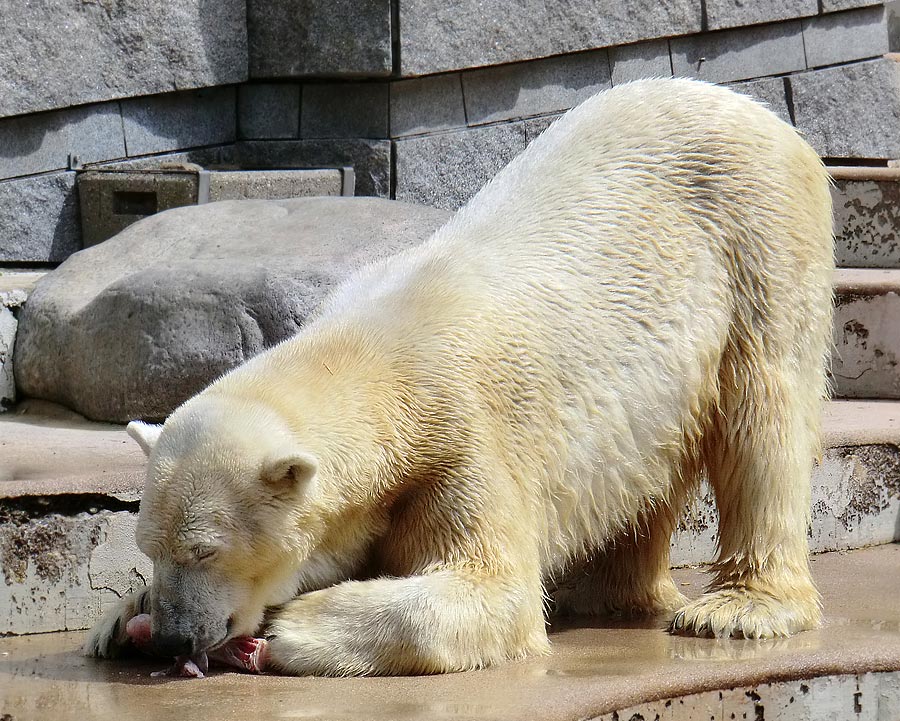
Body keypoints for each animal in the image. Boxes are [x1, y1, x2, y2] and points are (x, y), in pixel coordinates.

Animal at [82, 79, 828, 676]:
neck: (372, 353)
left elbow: (492, 588)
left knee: (762, 418)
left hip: (757, 246)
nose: (174, 637)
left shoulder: (462, 433)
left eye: (206, 550)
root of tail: (749, 107)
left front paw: (294, 627)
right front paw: (118, 621)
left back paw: (736, 608)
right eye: (149, 546)